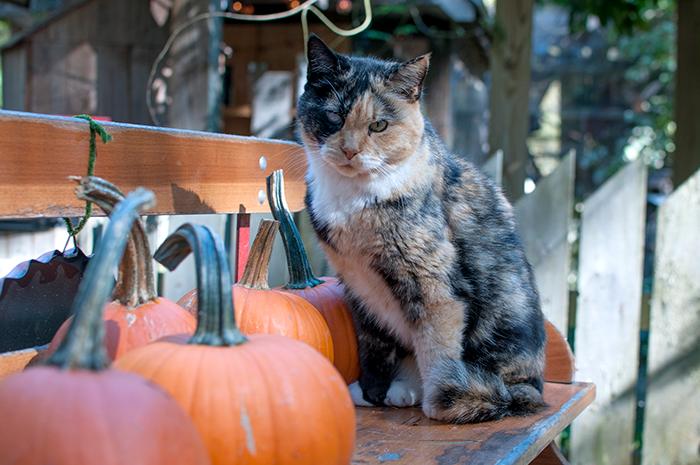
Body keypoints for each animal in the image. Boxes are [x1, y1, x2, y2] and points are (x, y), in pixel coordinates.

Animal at [298, 34, 544, 422]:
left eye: (379, 125)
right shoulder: (357, 286)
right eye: (334, 115)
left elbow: (437, 346)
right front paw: (372, 391)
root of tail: (532, 386)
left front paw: (442, 403)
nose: (350, 151)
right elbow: (373, 342)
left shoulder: (433, 281)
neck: (354, 199)